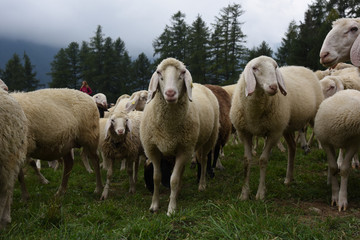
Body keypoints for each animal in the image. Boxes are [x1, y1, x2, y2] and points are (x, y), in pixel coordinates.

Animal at [141, 57, 219, 216]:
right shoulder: (153, 150)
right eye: (159, 72)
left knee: (203, 160)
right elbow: (156, 178)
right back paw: (178, 192)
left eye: (182, 73)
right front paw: (154, 205)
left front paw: (171, 209)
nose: (170, 93)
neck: (168, 128)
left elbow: (173, 179)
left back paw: (202, 185)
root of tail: (200, 85)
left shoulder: (184, 149)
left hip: (208, 139)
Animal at [229, 56, 324, 201]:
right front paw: (244, 193)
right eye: (255, 68)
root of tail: (303, 67)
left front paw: (260, 193)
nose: (274, 87)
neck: (255, 112)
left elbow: (263, 160)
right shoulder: (244, 133)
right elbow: (246, 161)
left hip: (312, 117)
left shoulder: (273, 133)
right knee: (292, 147)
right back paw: (288, 178)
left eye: (275, 67)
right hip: (286, 127)